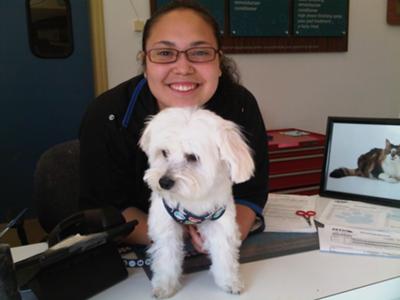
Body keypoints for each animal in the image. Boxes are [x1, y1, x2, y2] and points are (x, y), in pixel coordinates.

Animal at [139, 107, 255, 298]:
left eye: (192, 157)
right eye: (164, 152)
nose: (164, 182)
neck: (191, 197)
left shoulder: (220, 222)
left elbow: (224, 254)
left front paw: (229, 281)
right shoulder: (166, 225)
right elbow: (166, 257)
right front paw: (164, 285)